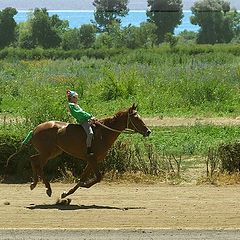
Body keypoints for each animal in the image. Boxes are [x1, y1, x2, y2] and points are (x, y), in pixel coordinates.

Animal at [19, 104, 150, 198]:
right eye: (136, 118)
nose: (148, 131)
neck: (104, 133)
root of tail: (35, 129)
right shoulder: (92, 158)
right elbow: (98, 177)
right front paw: (85, 185)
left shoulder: (91, 160)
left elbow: (83, 177)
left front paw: (67, 193)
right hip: (47, 152)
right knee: (37, 163)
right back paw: (46, 187)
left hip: (54, 152)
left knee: (34, 160)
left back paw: (35, 184)